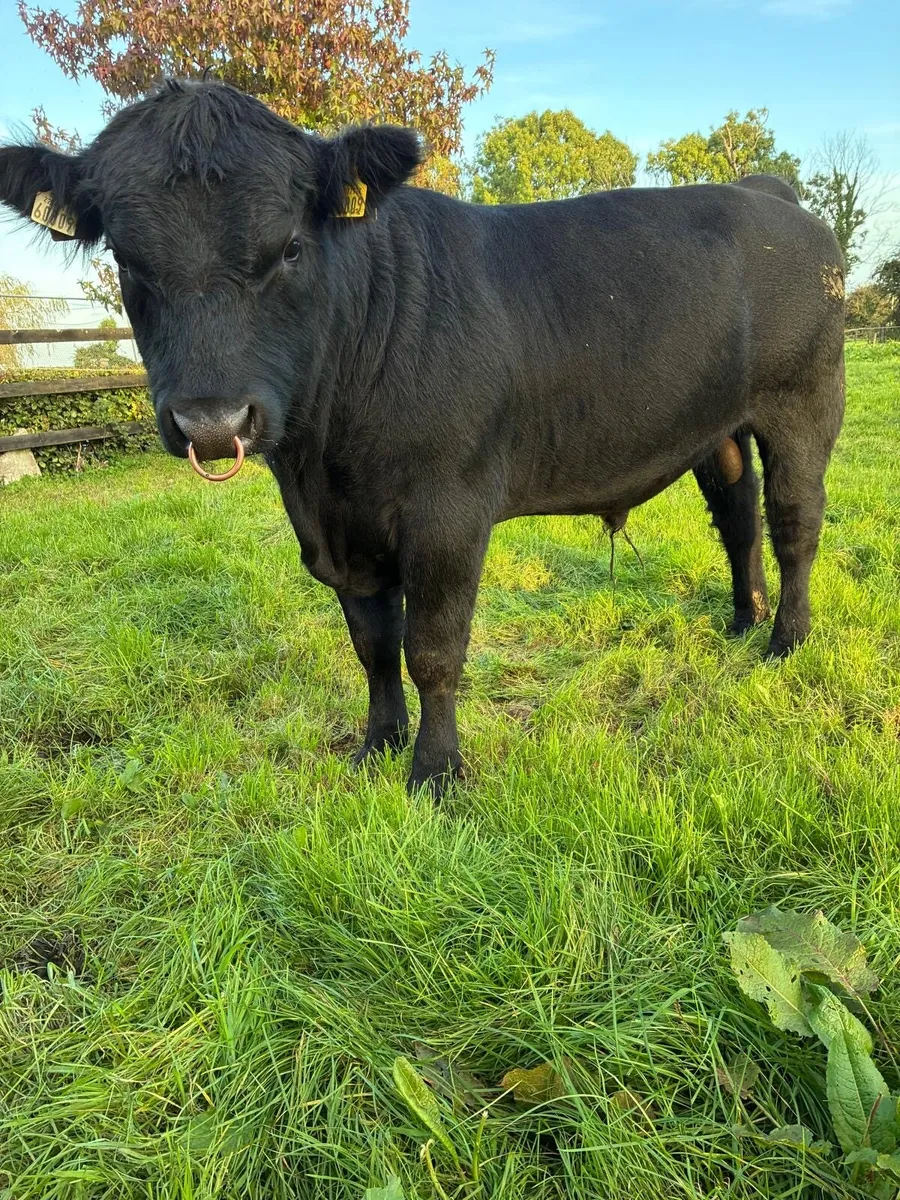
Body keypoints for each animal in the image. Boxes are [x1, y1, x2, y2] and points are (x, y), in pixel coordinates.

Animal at [0, 80, 846, 797]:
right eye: (125, 259)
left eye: (291, 247)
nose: (213, 420)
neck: (323, 462)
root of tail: (763, 193)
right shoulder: (339, 532)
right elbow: (373, 646)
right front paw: (376, 747)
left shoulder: (448, 511)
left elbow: (433, 650)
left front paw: (435, 772)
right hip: (718, 424)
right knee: (738, 516)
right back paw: (742, 621)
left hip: (805, 400)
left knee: (795, 522)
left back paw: (786, 639)